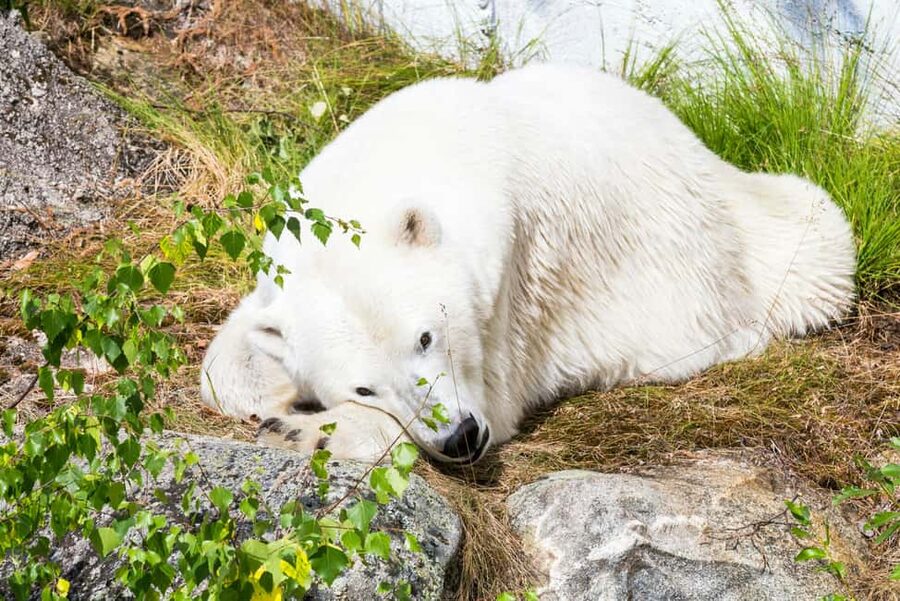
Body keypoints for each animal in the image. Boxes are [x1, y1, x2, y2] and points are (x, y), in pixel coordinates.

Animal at [200, 64, 856, 464]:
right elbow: (228, 358)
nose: (460, 437)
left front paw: (306, 430)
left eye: (426, 336)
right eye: (362, 384)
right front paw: (276, 399)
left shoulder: (508, 280)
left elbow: (497, 395)